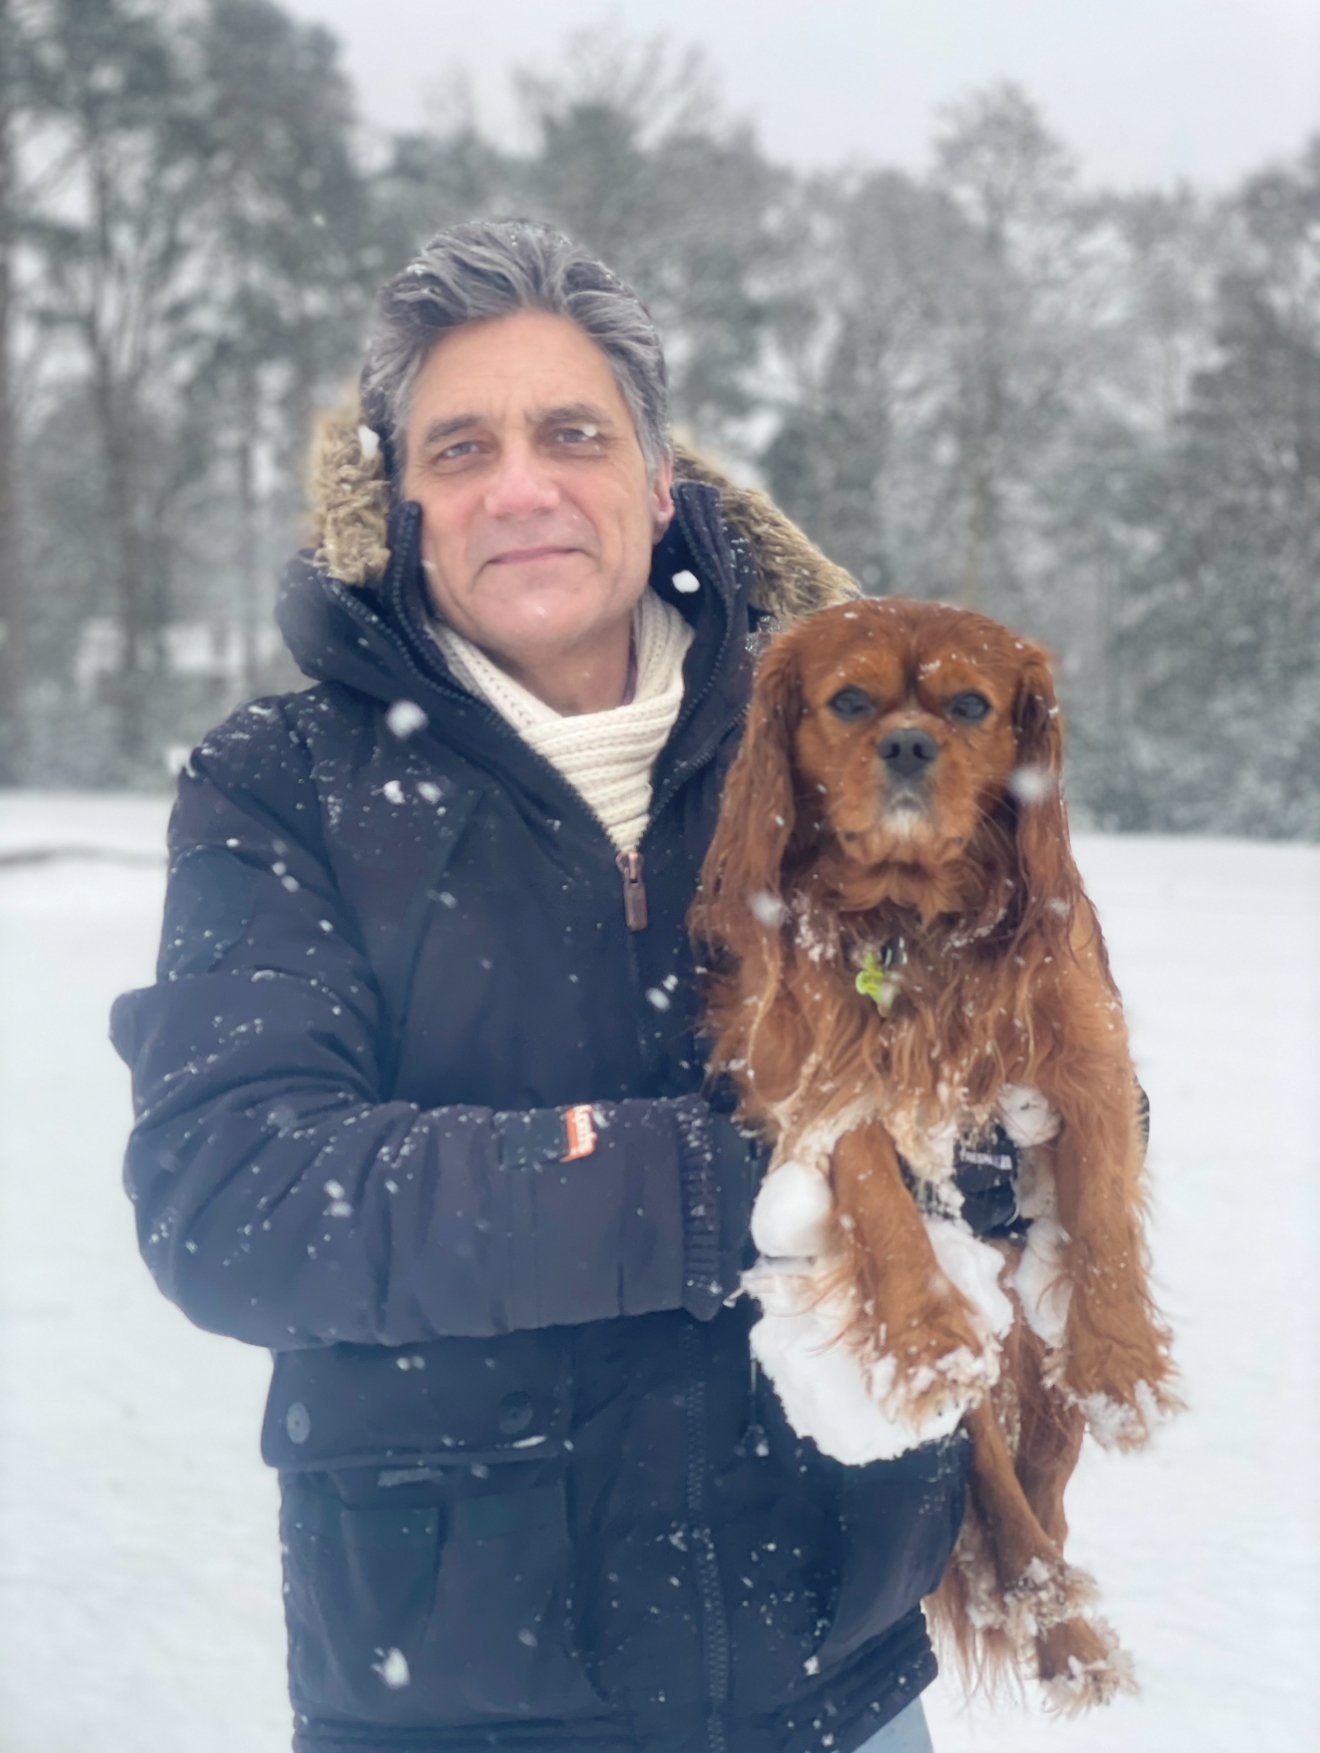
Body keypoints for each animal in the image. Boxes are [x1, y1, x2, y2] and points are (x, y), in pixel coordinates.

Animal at [691, 596, 1180, 1710]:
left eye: (968, 706)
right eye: (850, 702)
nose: (910, 743)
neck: (912, 920)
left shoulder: (1087, 1055)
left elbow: (1102, 1215)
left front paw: (1122, 1363)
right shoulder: (814, 1075)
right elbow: (873, 1182)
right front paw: (924, 1342)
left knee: (1045, 1480)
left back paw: (1067, 1630)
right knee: (998, 1487)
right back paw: (1045, 1608)